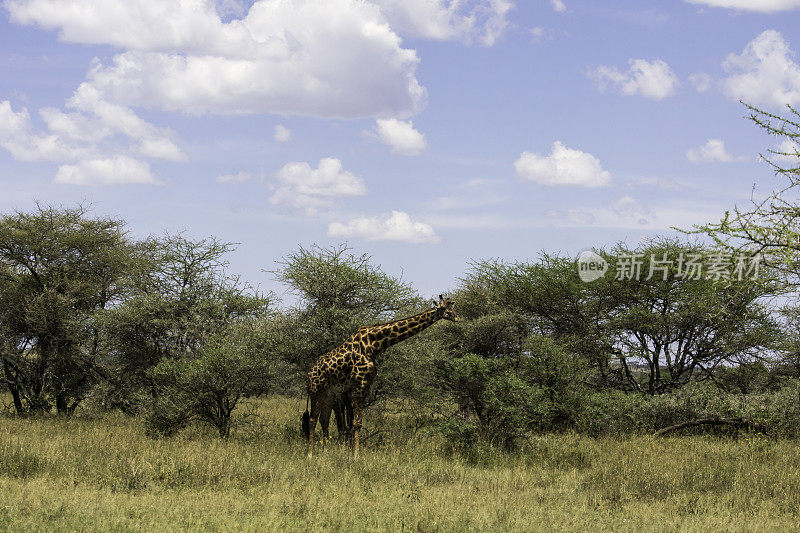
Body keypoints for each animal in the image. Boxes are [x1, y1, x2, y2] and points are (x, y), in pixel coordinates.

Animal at [304, 294, 460, 456]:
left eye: (452, 307)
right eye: (443, 308)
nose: (456, 317)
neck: (374, 344)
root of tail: (308, 375)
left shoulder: (366, 383)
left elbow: (355, 420)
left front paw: (352, 452)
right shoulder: (360, 381)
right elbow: (356, 422)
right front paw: (355, 455)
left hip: (329, 394)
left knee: (324, 420)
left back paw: (325, 451)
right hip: (316, 391)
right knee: (312, 420)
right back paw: (310, 454)